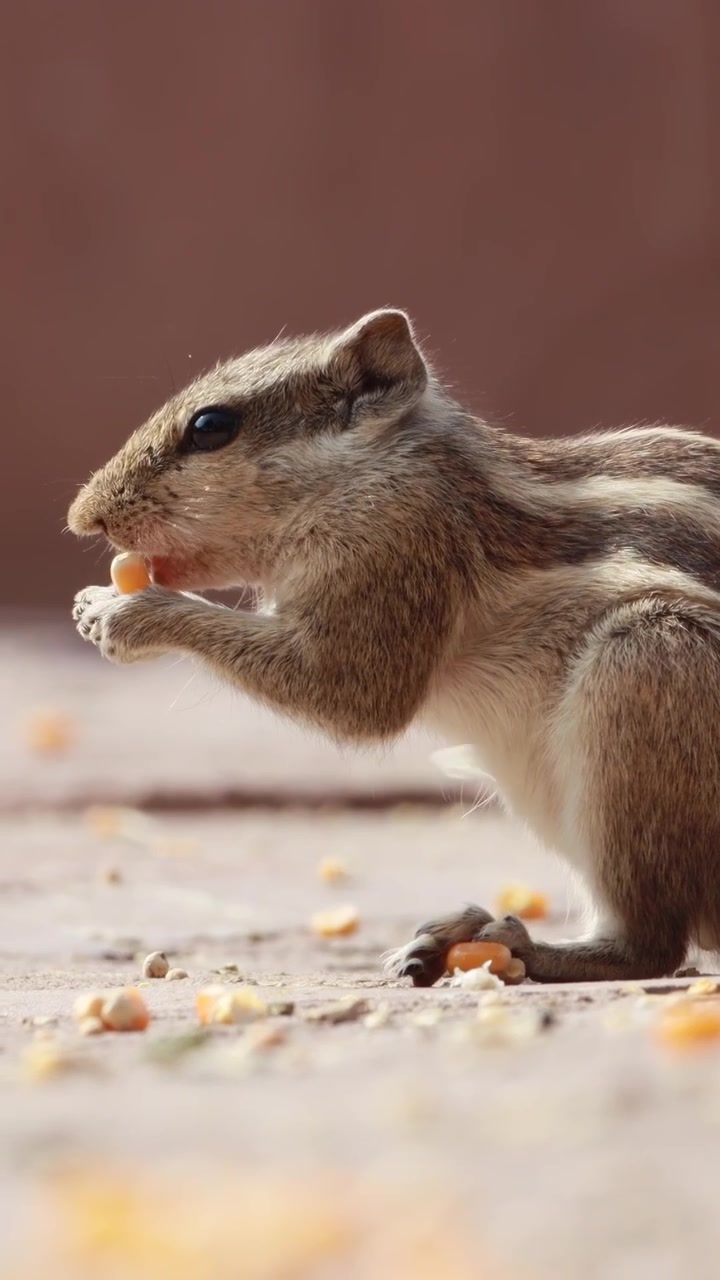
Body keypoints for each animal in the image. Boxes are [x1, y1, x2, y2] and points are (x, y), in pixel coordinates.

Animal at [68, 308, 720, 986]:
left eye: (210, 427)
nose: (84, 517)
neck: (378, 472)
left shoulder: (391, 555)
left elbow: (353, 695)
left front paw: (126, 614)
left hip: (645, 664)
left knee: (650, 946)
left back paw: (525, 948)